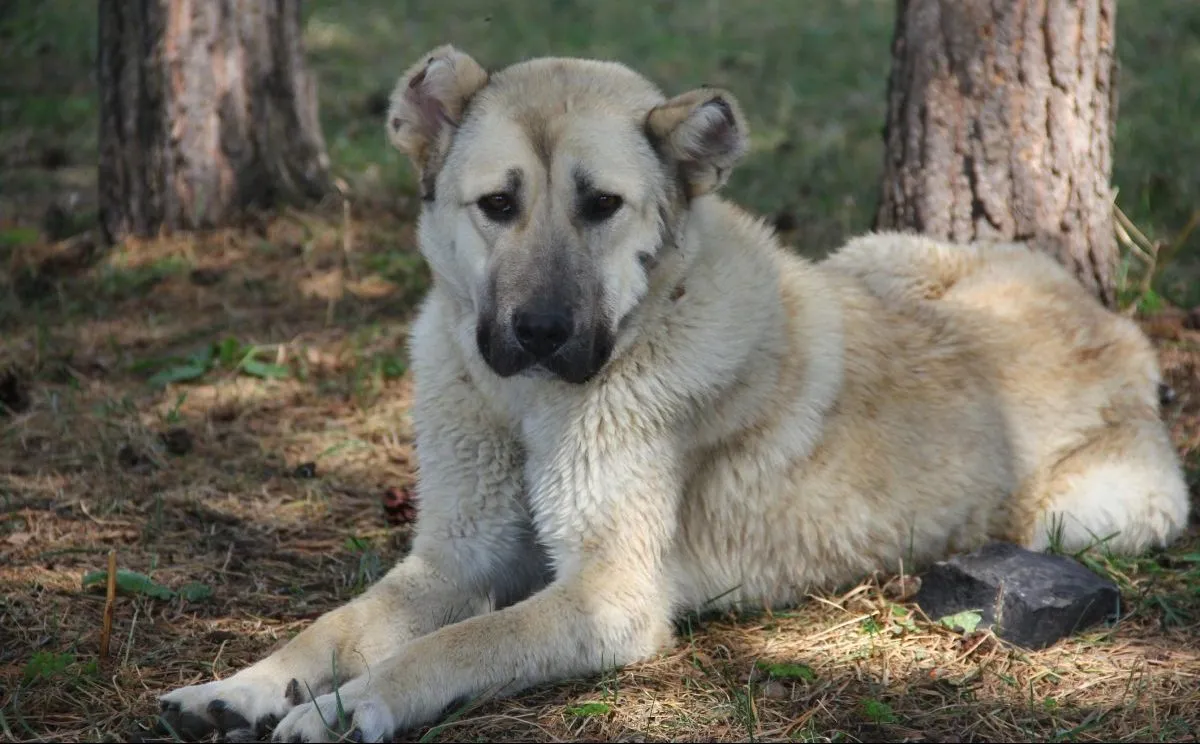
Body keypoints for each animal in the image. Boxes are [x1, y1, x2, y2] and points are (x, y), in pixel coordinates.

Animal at [159, 48, 1190, 744]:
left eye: (601, 206)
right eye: (497, 205)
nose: (539, 332)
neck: (530, 406)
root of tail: (1117, 328)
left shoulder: (607, 595)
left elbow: (453, 647)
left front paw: (350, 708)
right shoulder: (453, 558)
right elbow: (338, 626)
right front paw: (244, 686)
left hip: (1082, 517)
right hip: (875, 253)